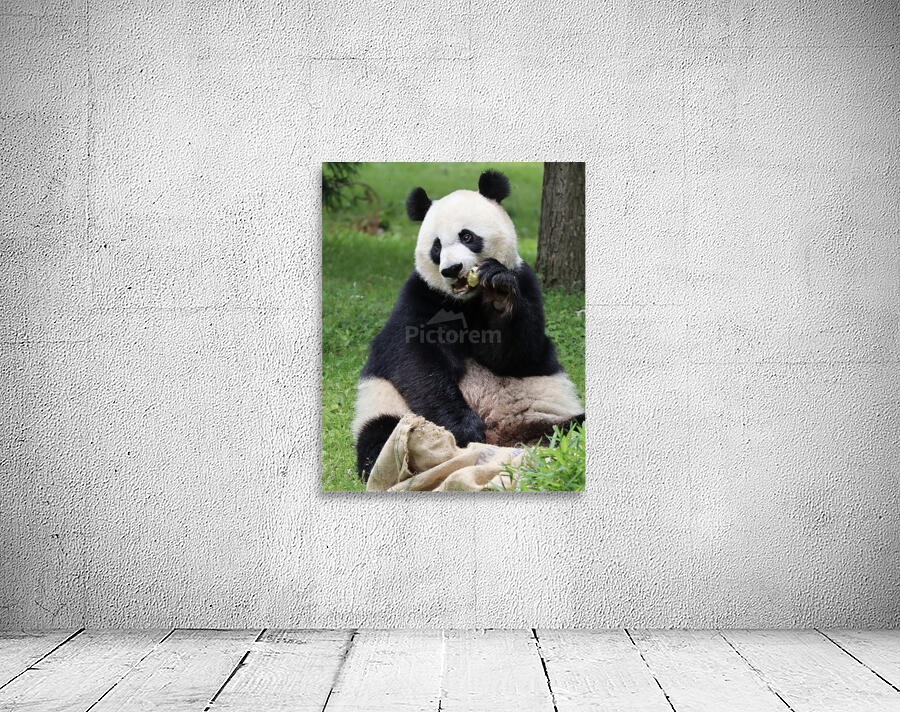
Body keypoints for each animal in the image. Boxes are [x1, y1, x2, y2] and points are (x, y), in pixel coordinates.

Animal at [352, 169, 584, 479]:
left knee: (575, 428)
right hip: (389, 408)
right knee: (383, 438)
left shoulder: (525, 282)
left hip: (546, 415)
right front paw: (464, 427)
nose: (451, 269)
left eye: (467, 236)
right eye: (436, 246)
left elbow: (520, 354)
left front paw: (499, 295)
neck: (466, 301)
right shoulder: (420, 295)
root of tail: (502, 438)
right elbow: (414, 358)